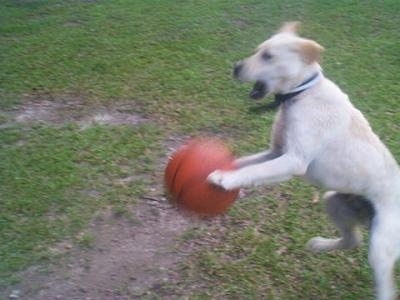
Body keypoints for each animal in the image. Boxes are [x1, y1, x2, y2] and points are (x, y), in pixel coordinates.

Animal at [206, 22, 400, 298]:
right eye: (257, 51)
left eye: (268, 56)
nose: (235, 67)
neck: (304, 93)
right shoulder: (276, 152)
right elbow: (245, 163)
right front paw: (222, 170)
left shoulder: (292, 160)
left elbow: (253, 172)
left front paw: (225, 179)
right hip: (334, 201)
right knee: (353, 240)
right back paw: (319, 245)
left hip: (381, 247)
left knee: (386, 287)